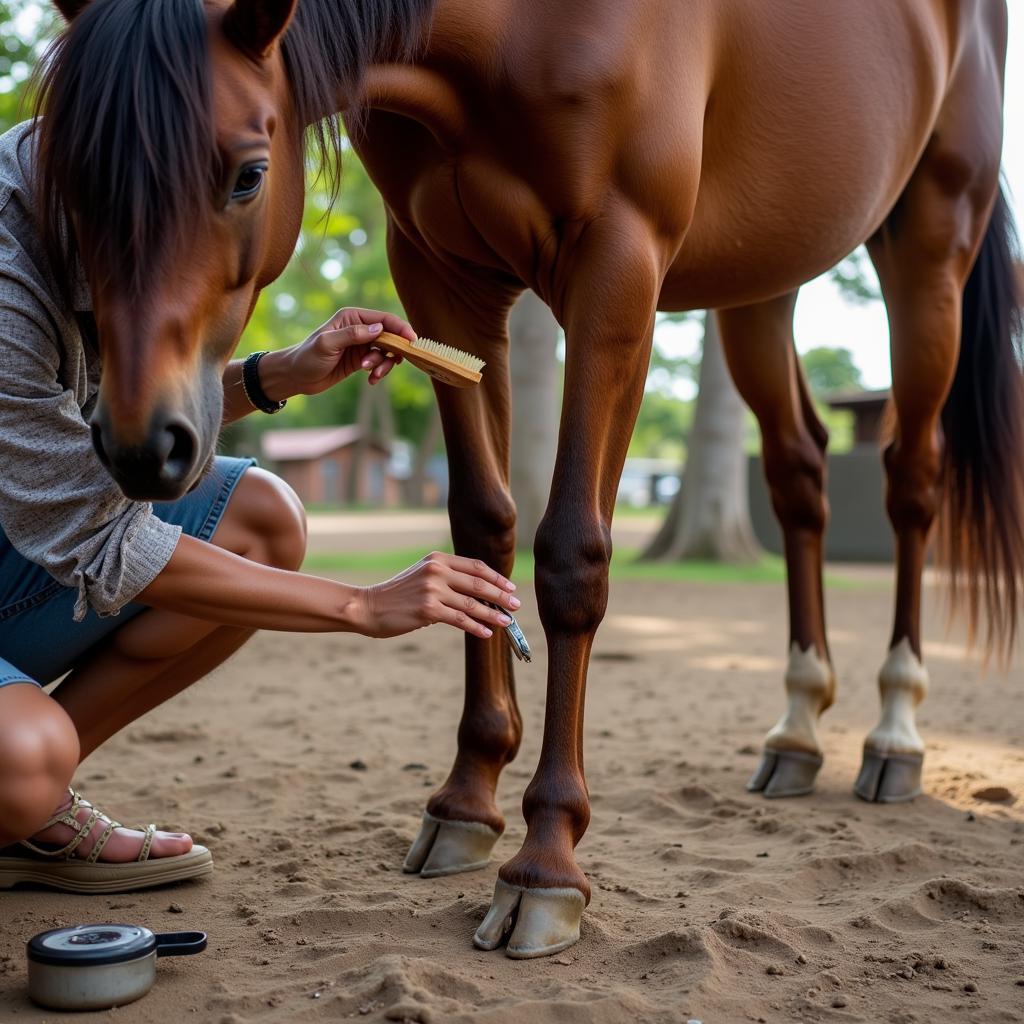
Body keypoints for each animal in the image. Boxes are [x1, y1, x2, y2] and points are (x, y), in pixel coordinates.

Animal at [34, 0, 1024, 958]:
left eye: (247, 175)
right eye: (64, 177)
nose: (138, 444)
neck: (515, 29)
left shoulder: (618, 270)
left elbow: (572, 556)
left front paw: (546, 866)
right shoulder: (441, 277)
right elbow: (482, 527)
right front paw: (465, 805)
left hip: (931, 244)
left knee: (911, 481)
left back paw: (894, 733)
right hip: (761, 277)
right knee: (798, 472)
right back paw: (799, 730)